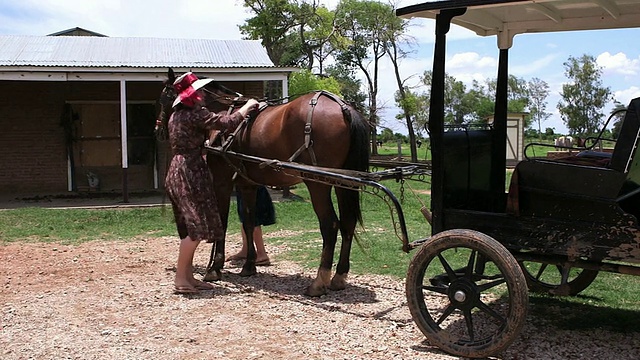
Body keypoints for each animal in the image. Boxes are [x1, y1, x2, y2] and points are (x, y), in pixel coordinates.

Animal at [156, 69, 370, 296]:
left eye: (164, 97)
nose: (158, 129)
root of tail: (343, 107)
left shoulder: (222, 183)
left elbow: (222, 222)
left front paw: (214, 268)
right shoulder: (247, 185)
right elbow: (249, 223)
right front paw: (249, 266)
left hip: (318, 185)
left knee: (330, 225)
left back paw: (319, 282)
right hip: (343, 184)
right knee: (348, 222)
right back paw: (339, 276)